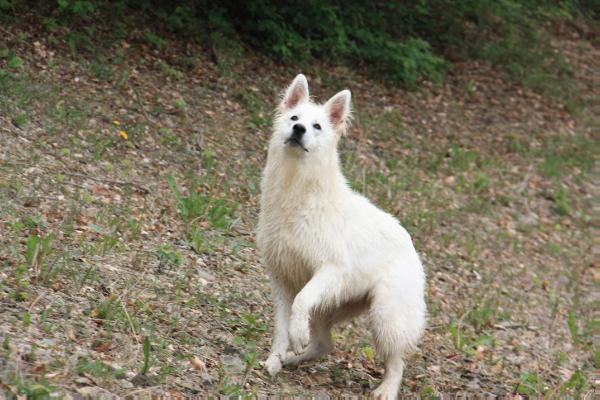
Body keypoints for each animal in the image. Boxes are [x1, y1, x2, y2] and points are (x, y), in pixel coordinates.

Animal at [258, 74, 426, 396]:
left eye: (317, 126)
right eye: (295, 118)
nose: (298, 129)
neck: (299, 189)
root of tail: (411, 243)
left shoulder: (330, 271)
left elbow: (301, 303)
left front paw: (295, 337)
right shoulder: (283, 280)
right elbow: (282, 325)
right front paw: (275, 357)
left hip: (385, 315)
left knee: (397, 360)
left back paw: (387, 389)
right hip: (331, 306)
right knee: (325, 344)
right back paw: (292, 358)